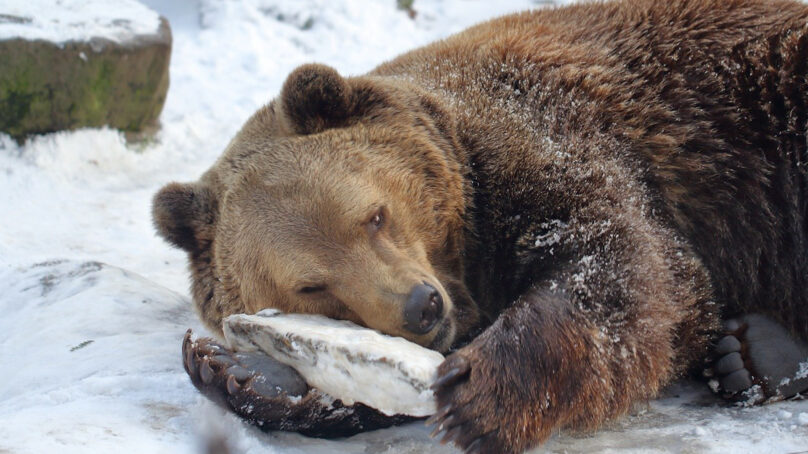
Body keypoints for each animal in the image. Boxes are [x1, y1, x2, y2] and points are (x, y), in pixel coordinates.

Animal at [153, 1, 808, 452]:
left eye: (374, 215)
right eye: (312, 285)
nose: (420, 307)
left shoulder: (552, 138)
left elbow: (629, 270)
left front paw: (483, 391)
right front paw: (244, 372)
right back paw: (754, 352)